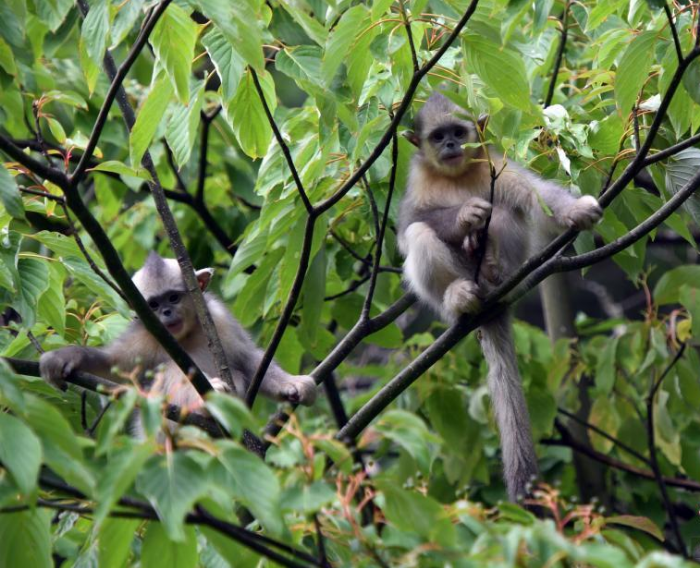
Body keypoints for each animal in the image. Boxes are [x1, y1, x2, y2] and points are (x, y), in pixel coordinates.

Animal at [39, 253, 316, 418]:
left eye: (173, 298)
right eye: (153, 305)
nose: (166, 312)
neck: (186, 337)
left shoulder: (219, 320)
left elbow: (248, 360)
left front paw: (293, 383)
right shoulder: (145, 336)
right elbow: (112, 366)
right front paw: (66, 357)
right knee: (171, 369)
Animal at [396, 93, 604, 502]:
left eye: (459, 132)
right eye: (438, 136)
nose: (451, 145)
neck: (456, 176)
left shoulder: (495, 166)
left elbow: (534, 195)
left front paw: (575, 210)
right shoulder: (418, 181)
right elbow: (408, 223)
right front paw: (466, 215)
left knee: (507, 212)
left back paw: (492, 268)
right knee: (419, 233)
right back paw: (460, 297)